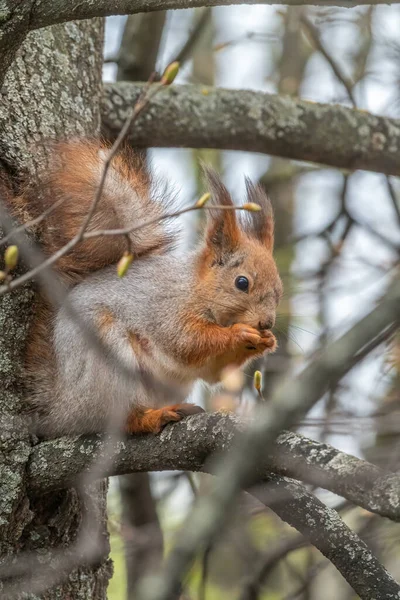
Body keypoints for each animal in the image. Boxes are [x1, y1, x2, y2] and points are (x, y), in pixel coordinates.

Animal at [18, 142, 282, 438]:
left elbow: (212, 371)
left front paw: (267, 341)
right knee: (123, 419)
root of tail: (62, 412)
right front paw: (240, 333)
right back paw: (152, 417)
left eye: (279, 291)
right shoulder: (167, 308)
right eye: (242, 283)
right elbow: (186, 342)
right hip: (107, 361)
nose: (266, 322)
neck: (194, 288)